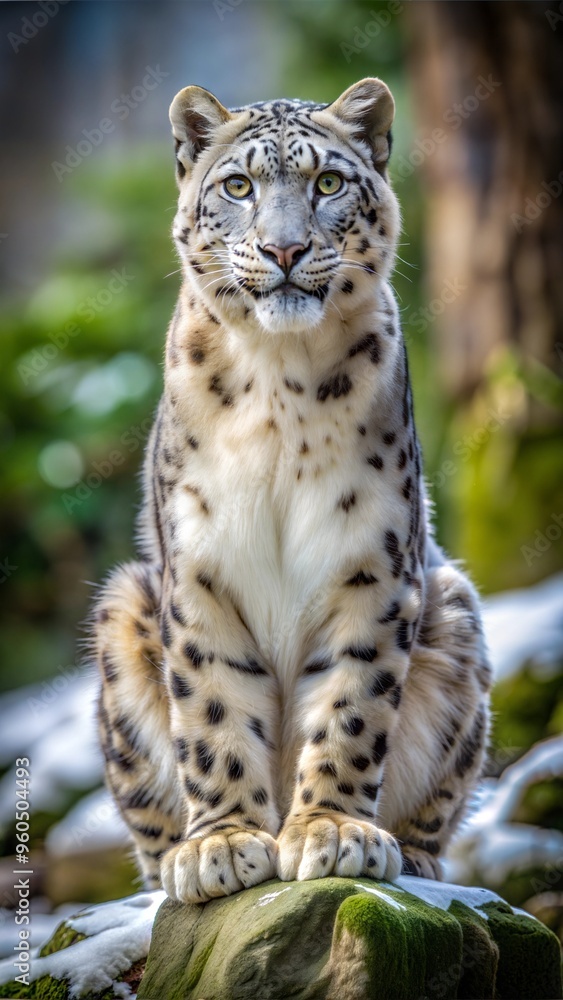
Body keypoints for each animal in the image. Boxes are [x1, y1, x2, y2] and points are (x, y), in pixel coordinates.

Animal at [92, 78, 492, 904]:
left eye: (328, 183)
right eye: (238, 186)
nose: (284, 249)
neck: (278, 386)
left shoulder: (373, 567)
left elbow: (350, 707)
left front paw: (330, 832)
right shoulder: (199, 571)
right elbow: (212, 708)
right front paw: (225, 845)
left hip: (456, 612)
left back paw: (412, 857)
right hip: (120, 608)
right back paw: (172, 864)